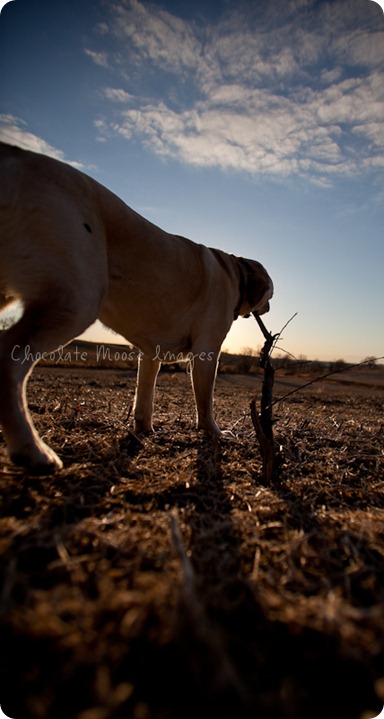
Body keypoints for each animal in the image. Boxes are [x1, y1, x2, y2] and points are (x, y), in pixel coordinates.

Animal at [0, 143, 272, 476]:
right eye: (270, 293)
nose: (269, 306)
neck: (236, 273)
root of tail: (16, 154)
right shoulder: (207, 352)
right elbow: (205, 402)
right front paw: (215, 433)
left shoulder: (150, 354)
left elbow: (144, 398)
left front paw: (144, 431)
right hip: (77, 301)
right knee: (7, 361)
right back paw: (32, 451)